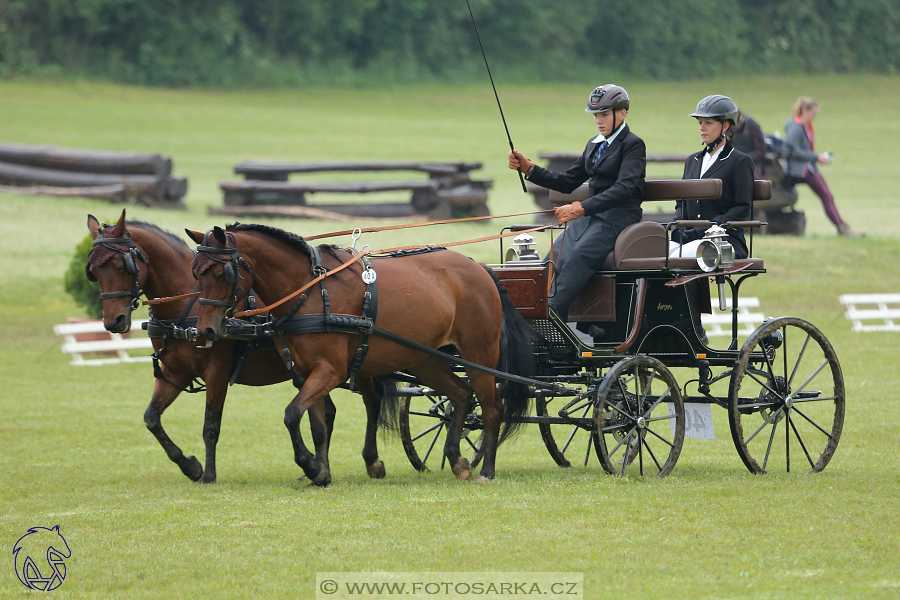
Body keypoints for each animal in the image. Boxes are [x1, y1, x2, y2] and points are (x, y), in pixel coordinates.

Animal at [88, 211, 390, 482]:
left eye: (121, 265)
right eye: (94, 271)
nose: (113, 322)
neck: (189, 305)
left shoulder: (216, 372)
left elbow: (210, 425)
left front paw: (208, 474)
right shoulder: (175, 372)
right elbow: (152, 418)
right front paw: (190, 465)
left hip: (358, 362)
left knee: (372, 401)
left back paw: (371, 461)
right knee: (328, 413)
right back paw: (317, 469)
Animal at [185, 223, 532, 486]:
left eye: (223, 274)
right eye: (196, 273)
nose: (206, 330)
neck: (310, 289)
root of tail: (480, 268)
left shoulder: (331, 370)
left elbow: (292, 414)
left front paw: (310, 465)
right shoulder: (307, 372)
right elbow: (316, 424)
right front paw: (320, 472)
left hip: (479, 354)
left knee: (492, 409)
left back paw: (487, 470)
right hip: (425, 359)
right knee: (461, 395)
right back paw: (457, 460)